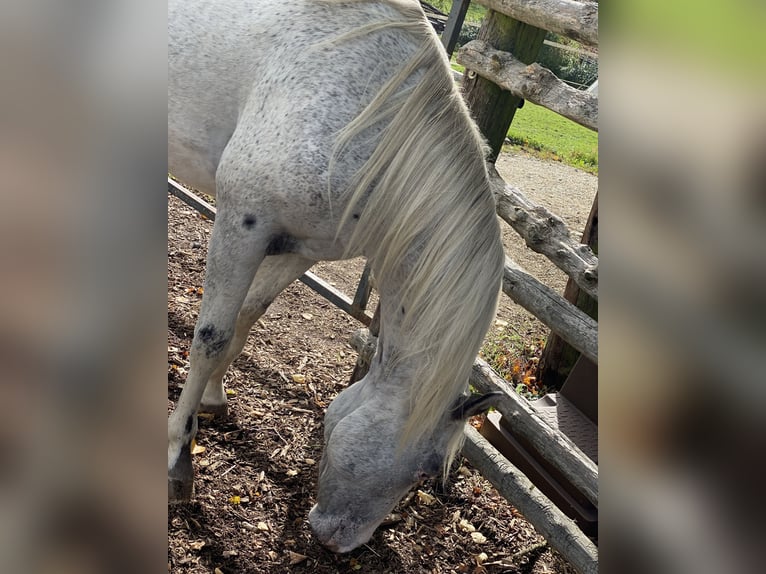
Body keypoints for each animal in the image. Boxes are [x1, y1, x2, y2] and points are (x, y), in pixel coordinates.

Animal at [169, 0, 508, 552]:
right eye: (428, 471)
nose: (339, 542)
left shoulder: (300, 248)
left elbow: (247, 317)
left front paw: (216, 399)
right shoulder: (242, 223)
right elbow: (211, 338)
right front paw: (178, 457)